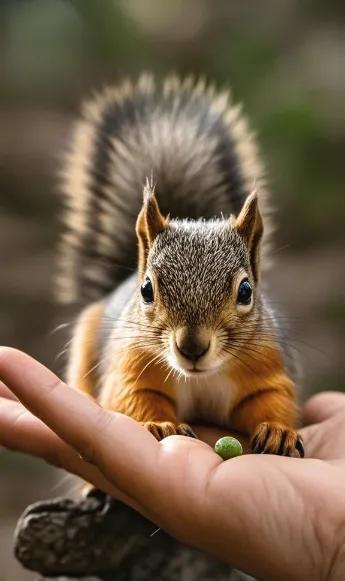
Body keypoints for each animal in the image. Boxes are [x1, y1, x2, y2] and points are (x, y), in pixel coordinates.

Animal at [58, 75, 304, 456]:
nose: (192, 348)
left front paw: (279, 431)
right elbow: (135, 398)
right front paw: (162, 424)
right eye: (147, 290)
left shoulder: (269, 366)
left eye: (246, 291)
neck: (201, 378)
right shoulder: (129, 368)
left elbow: (272, 399)